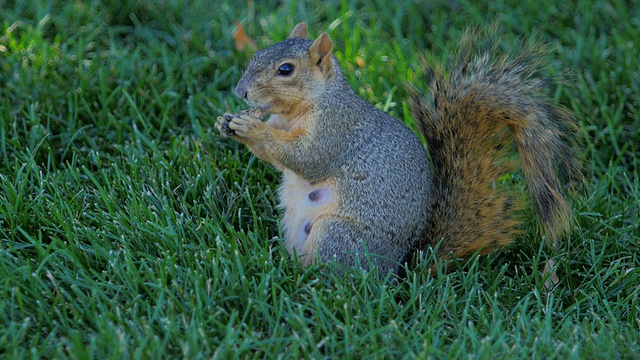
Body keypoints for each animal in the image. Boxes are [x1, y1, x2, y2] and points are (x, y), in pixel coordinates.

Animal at [215, 23, 580, 276]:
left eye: (286, 69)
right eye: (255, 55)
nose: (240, 91)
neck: (297, 111)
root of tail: (397, 270)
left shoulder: (335, 130)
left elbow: (307, 158)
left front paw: (252, 128)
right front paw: (227, 121)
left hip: (338, 234)